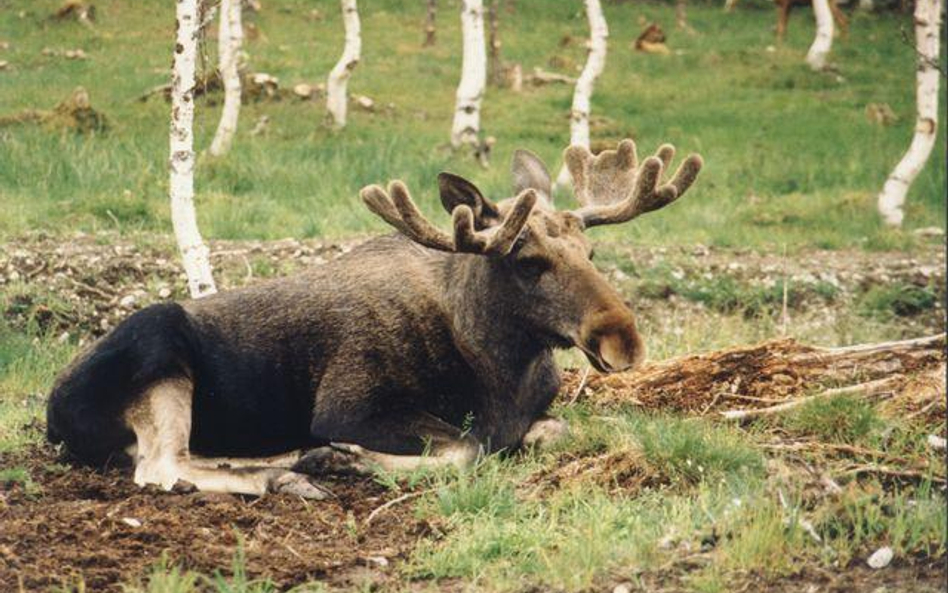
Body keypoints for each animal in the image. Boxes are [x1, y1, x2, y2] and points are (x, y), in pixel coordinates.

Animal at [48, 140, 700, 500]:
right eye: (529, 262)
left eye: (592, 253)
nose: (622, 339)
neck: (498, 367)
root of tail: (52, 417)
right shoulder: (350, 406)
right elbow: (466, 450)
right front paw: (348, 458)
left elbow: (552, 432)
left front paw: (333, 456)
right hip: (158, 346)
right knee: (160, 466)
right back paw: (288, 475)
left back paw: (291, 461)